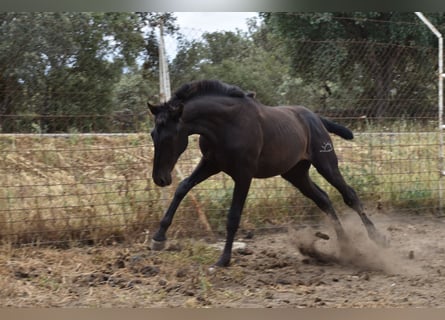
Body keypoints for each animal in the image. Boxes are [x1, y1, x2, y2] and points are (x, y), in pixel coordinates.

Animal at [147, 80, 384, 268]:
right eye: (152, 134)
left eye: (168, 136)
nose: (160, 178)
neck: (226, 125)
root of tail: (316, 118)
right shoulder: (210, 164)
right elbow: (183, 187)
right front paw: (158, 237)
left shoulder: (244, 174)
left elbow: (233, 216)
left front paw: (223, 260)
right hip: (295, 174)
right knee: (323, 199)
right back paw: (345, 246)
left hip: (326, 164)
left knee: (349, 195)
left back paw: (378, 238)